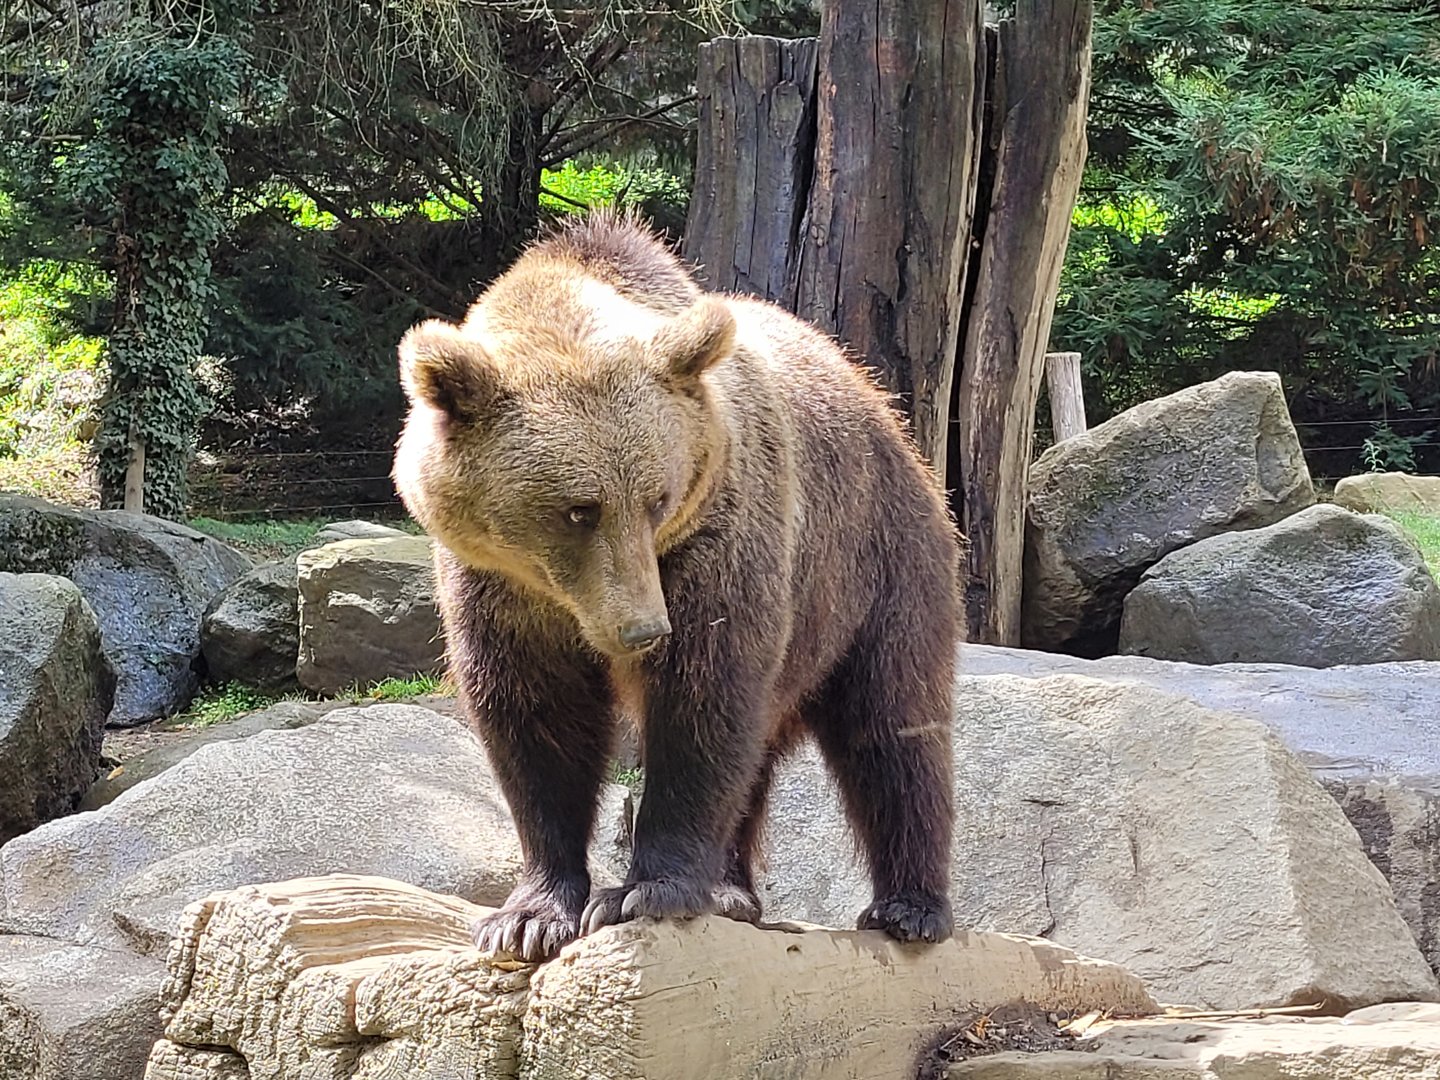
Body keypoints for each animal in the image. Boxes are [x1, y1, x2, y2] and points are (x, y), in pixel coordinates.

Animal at [392, 210, 961, 962]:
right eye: (578, 509)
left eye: (656, 499)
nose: (642, 630)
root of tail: (880, 402)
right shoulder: (499, 586)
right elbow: (535, 717)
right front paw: (528, 916)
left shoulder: (717, 539)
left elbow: (703, 696)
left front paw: (645, 891)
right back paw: (732, 890)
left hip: (877, 557)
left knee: (893, 721)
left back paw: (910, 906)